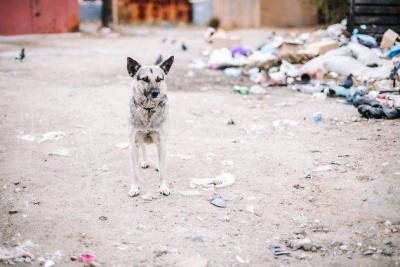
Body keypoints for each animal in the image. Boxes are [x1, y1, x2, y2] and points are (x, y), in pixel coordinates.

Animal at [126, 55, 173, 197]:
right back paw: (144, 162)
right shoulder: (134, 144)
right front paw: (135, 188)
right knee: (143, 148)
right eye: (145, 79)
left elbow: (163, 172)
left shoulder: (162, 141)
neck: (148, 109)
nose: (155, 93)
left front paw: (163, 187)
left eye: (159, 79)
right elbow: (135, 173)